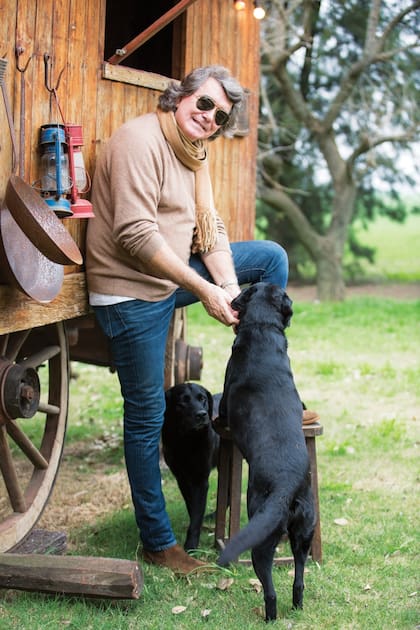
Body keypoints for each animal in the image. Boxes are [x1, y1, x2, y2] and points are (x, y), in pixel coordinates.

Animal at [161, 380, 220, 552]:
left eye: (203, 399)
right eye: (182, 402)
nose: (201, 414)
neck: (187, 441)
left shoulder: (200, 480)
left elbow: (196, 514)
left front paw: (191, 545)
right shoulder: (182, 479)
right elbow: (192, 507)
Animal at [217, 284, 316, 624]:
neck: (263, 329)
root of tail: (287, 486)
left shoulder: (226, 392)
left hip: (261, 536)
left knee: (270, 587)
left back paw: (270, 616)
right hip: (305, 533)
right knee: (299, 579)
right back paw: (297, 606)